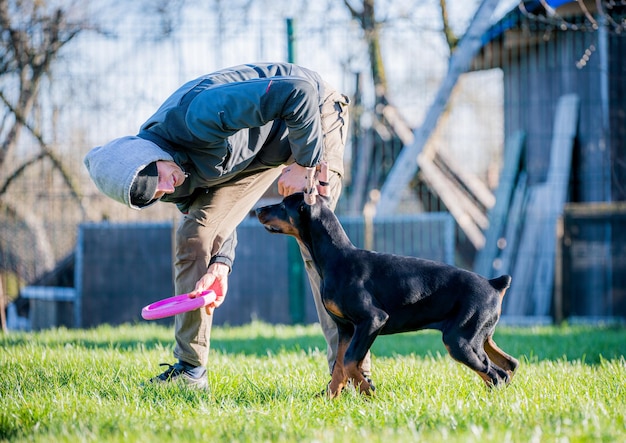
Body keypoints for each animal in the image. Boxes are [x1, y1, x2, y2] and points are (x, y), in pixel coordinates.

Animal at [254, 193, 516, 398]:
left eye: (283, 204)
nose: (258, 209)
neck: (336, 258)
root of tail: (494, 284)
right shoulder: (346, 328)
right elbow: (339, 366)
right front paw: (329, 400)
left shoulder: (372, 320)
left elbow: (350, 361)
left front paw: (368, 392)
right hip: (480, 336)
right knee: (509, 365)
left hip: (458, 340)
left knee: (496, 374)